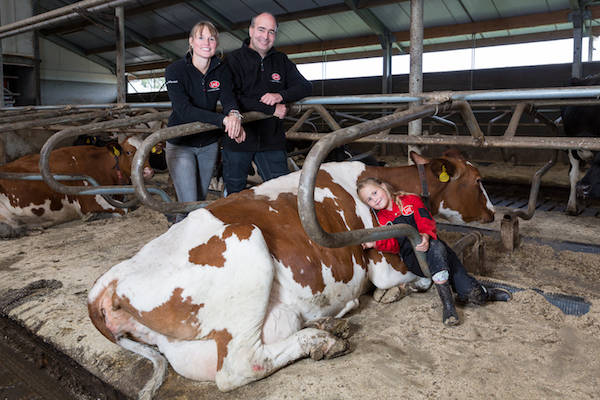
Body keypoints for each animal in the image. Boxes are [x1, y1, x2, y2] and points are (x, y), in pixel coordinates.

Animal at [0, 136, 155, 239]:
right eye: (129, 152)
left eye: (148, 153)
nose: (148, 172)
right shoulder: (90, 201)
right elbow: (124, 210)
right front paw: (92, 216)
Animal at [86, 152, 494, 396]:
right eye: (477, 180)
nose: (494, 213)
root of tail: (110, 280)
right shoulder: (382, 262)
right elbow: (410, 279)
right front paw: (399, 291)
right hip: (247, 244)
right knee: (238, 368)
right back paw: (323, 339)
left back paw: (329, 325)